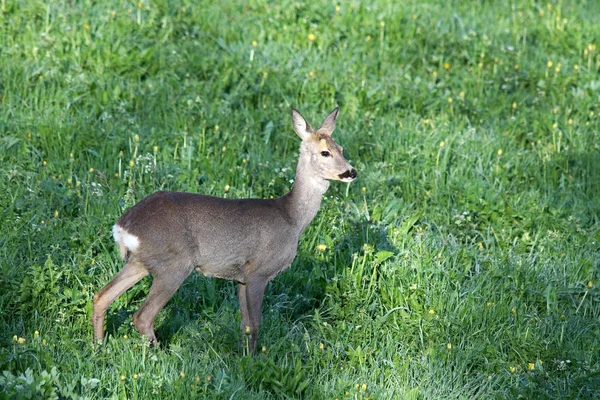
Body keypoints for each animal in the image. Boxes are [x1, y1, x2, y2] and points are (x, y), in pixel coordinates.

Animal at [91, 108, 356, 352]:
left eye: (342, 148)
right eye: (325, 152)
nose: (351, 172)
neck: (291, 218)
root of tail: (122, 226)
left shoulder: (240, 277)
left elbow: (245, 324)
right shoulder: (259, 271)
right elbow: (256, 324)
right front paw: (254, 360)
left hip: (140, 262)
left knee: (101, 296)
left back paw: (98, 346)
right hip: (174, 264)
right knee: (142, 315)